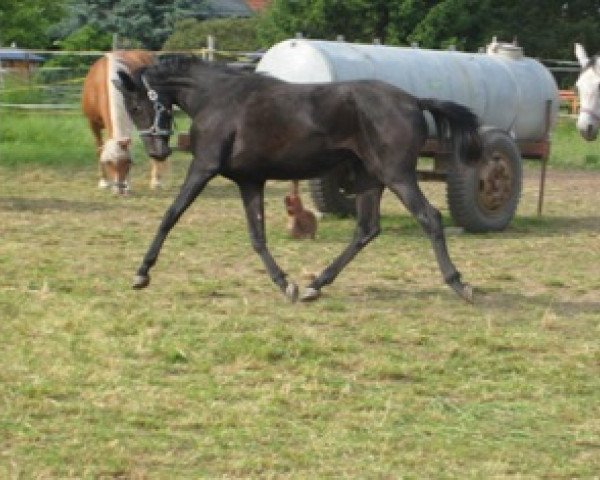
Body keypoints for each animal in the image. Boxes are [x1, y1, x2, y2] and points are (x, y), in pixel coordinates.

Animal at [81, 50, 168, 193]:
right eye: (108, 163)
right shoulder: (92, 123)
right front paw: (103, 181)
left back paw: (156, 181)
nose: (119, 190)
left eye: (128, 162)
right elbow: (99, 149)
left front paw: (128, 184)